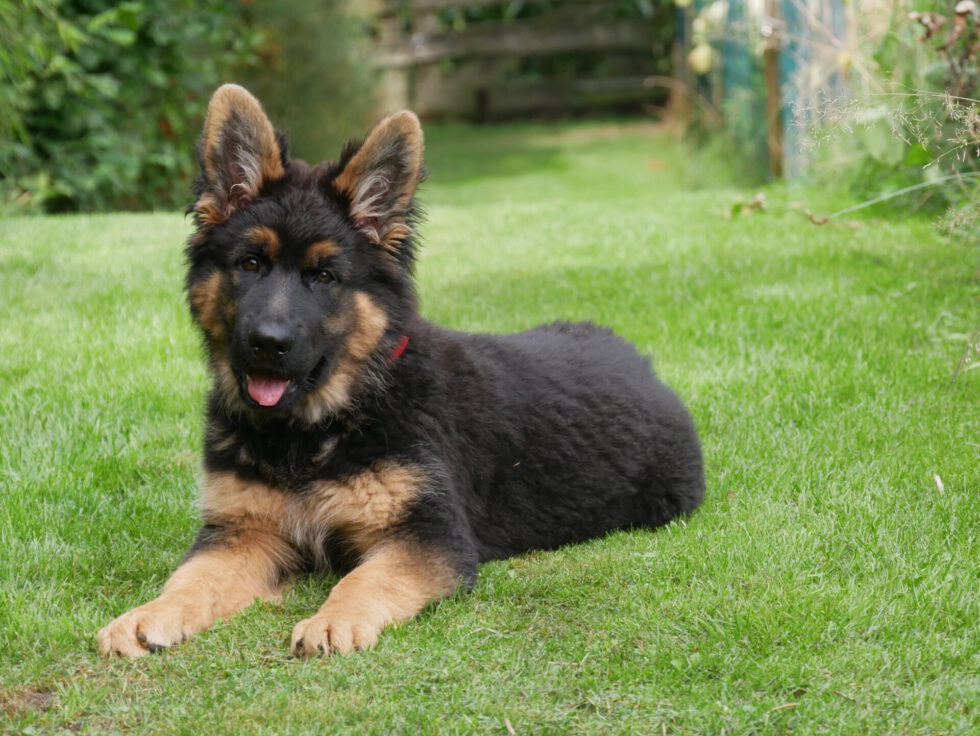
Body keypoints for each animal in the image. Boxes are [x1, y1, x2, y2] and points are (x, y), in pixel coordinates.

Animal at [99, 85, 704, 656]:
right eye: (250, 264)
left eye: (325, 277)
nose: (267, 344)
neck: (317, 430)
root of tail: (639, 359)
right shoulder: (243, 532)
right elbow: (192, 578)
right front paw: (148, 614)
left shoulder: (428, 537)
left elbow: (365, 579)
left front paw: (333, 620)